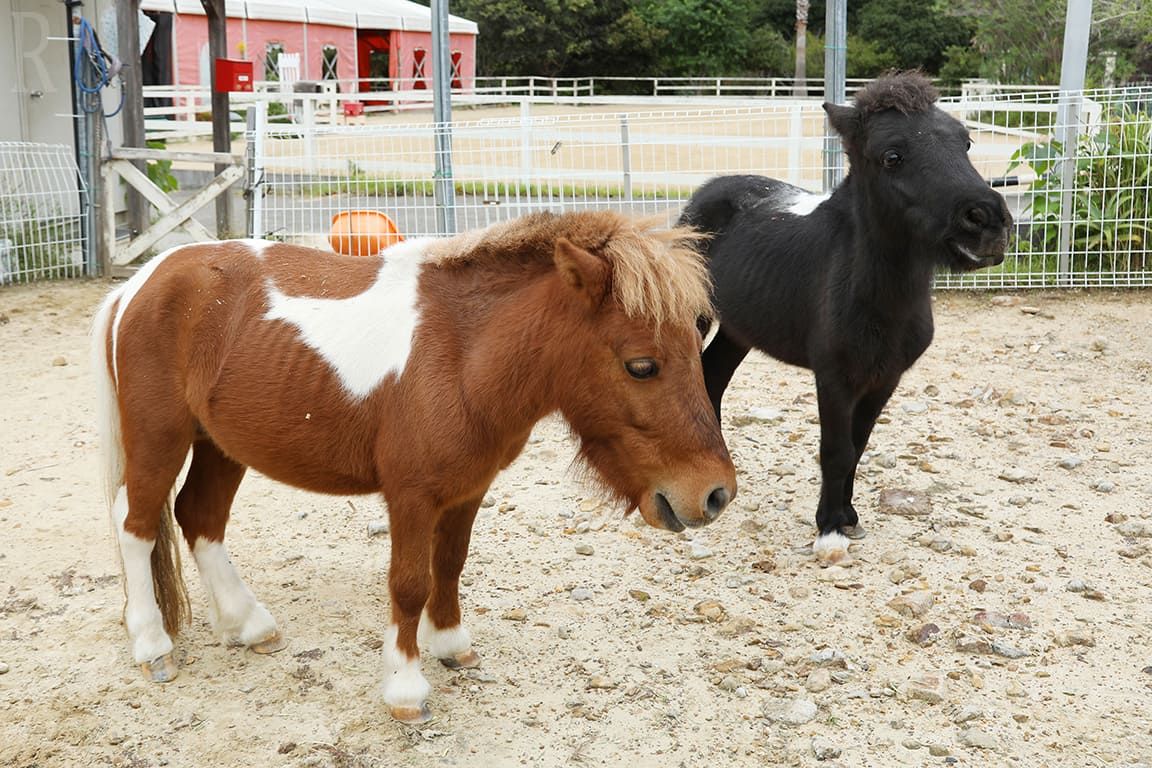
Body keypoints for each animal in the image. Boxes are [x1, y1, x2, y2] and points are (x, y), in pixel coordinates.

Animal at [92, 211, 737, 727]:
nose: (714, 495)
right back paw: (152, 645)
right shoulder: (411, 496)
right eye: (642, 365)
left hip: (222, 445)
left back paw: (249, 625)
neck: (461, 351)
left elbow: (450, 565)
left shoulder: (468, 489)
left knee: (200, 519)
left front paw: (452, 644)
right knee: (137, 526)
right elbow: (408, 584)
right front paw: (405, 688)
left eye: (696, 344)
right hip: (160, 438)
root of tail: (139, 285)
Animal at [677, 71, 1013, 561]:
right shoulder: (834, 376)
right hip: (695, 314)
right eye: (892, 156)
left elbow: (858, 446)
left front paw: (849, 518)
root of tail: (707, 192)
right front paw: (829, 530)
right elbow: (835, 449)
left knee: (713, 378)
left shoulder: (885, 378)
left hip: (740, 329)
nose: (987, 222)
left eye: (965, 141)